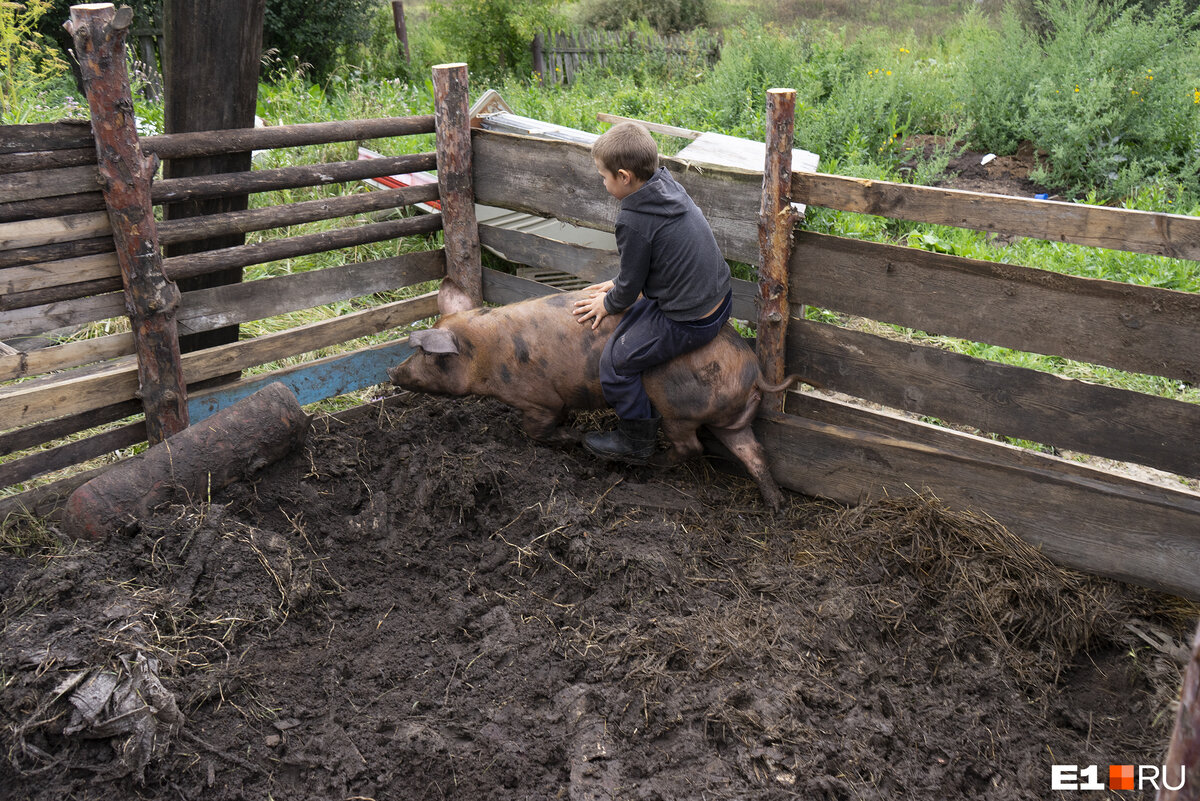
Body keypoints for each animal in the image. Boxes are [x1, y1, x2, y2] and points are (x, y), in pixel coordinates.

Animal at [386, 291, 796, 510]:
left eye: (426, 354)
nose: (392, 372)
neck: (487, 355)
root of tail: (753, 369)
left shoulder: (539, 401)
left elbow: (535, 429)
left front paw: (573, 439)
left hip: (676, 408)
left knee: (691, 446)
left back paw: (642, 460)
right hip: (732, 419)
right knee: (753, 452)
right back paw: (775, 504)